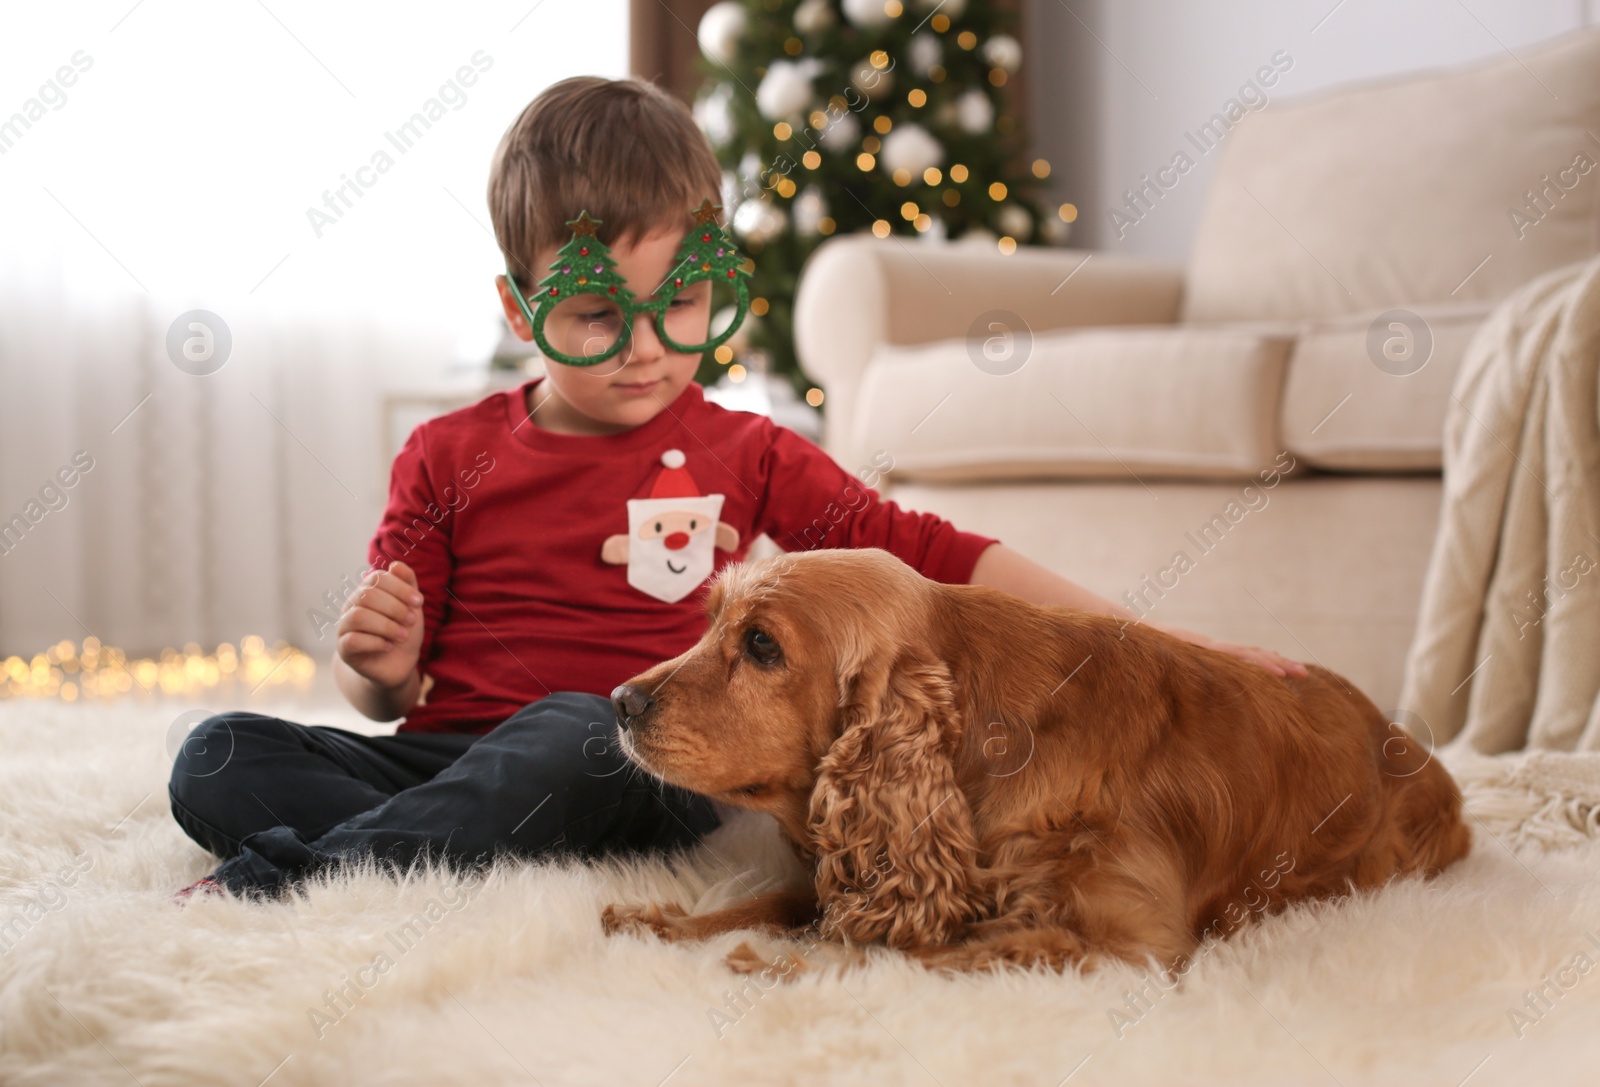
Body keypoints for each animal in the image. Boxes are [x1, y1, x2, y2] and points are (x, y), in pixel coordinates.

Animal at [601, 547, 1472, 973]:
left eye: (760, 645)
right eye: (711, 623)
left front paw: (788, 964)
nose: (620, 701)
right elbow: (773, 900)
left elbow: (923, 949)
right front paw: (661, 921)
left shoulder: (1131, 940)